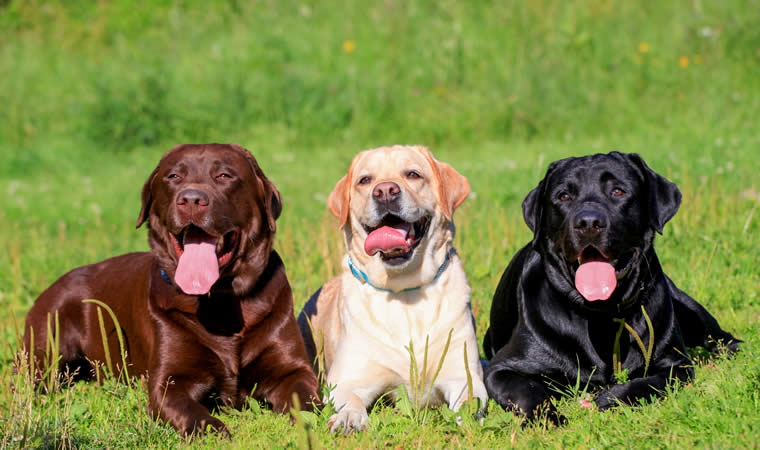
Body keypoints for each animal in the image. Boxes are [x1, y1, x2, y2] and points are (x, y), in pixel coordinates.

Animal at [23, 143, 320, 436]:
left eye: (224, 175)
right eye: (174, 176)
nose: (191, 199)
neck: (220, 302)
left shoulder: (293, 370)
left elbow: (307, 400)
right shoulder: (169, 380)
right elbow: (188, 409)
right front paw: (211, 428)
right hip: (46, 351)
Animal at [296, 146, 486, 434]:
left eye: (413, 174)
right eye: (365, 180)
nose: (385, 191)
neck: (404, 290)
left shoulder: (463, 373)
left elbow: (468, 400)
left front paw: (468, 421)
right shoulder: (346, 379)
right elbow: (350, 399)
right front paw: (349, 418)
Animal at [484, 152, 740, 422]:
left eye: (617, 191)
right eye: (563, 196)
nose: (588, 222)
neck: (601, 316)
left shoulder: (676, 364)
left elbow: (643, 383)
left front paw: (608, 398)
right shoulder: (501, 369)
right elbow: (529, 391)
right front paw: (549, 420)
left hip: (689, 309)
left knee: (723, 338)